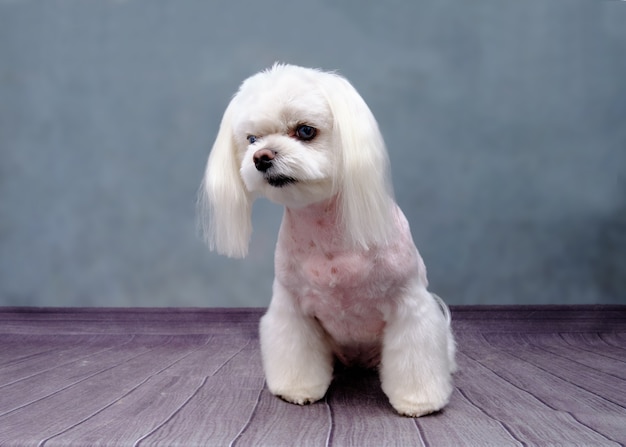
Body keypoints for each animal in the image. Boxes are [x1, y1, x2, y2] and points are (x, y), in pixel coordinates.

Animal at [199, 64, 454, 420]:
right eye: (251, 139)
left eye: (306, 130)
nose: (261, 157)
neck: (324, 227)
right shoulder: (293, 310)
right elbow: (296, 351)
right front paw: (298, 389)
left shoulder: (410, 307)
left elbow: (414, 356)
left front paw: (418, 400)